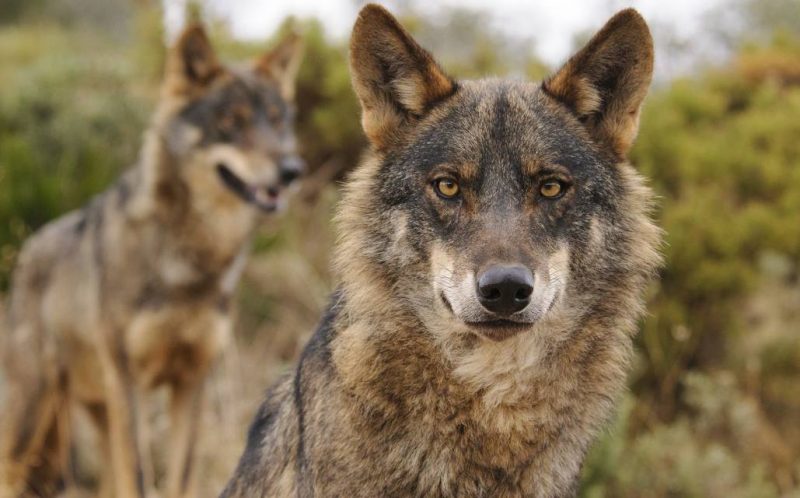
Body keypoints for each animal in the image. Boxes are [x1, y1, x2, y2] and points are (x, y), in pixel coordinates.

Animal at [0, 24, 304, 498]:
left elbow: (181, 477)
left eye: (276, 120)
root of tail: (27, 247)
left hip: (94, 416)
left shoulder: (192, 382)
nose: (292, 171)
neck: (191, 264)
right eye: (230, 122)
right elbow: (141, 476)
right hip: (33, 420)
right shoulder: (130, 383)